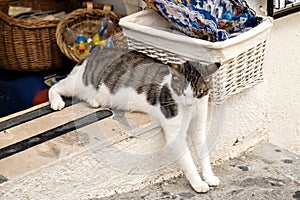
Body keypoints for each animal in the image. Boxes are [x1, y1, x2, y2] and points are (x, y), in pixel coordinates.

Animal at [48, 46, 219, 193]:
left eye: (198, 93)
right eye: (181, 92)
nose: (188, 103)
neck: (191, 109)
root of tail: (92, 53)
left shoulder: (199, 122)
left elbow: (203, 152)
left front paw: (209, 177)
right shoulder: (174, 131)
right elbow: (188, 162)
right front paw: (198, 183)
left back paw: (93, 101)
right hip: (78, 83)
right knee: (56, 87)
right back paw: (57, 102)